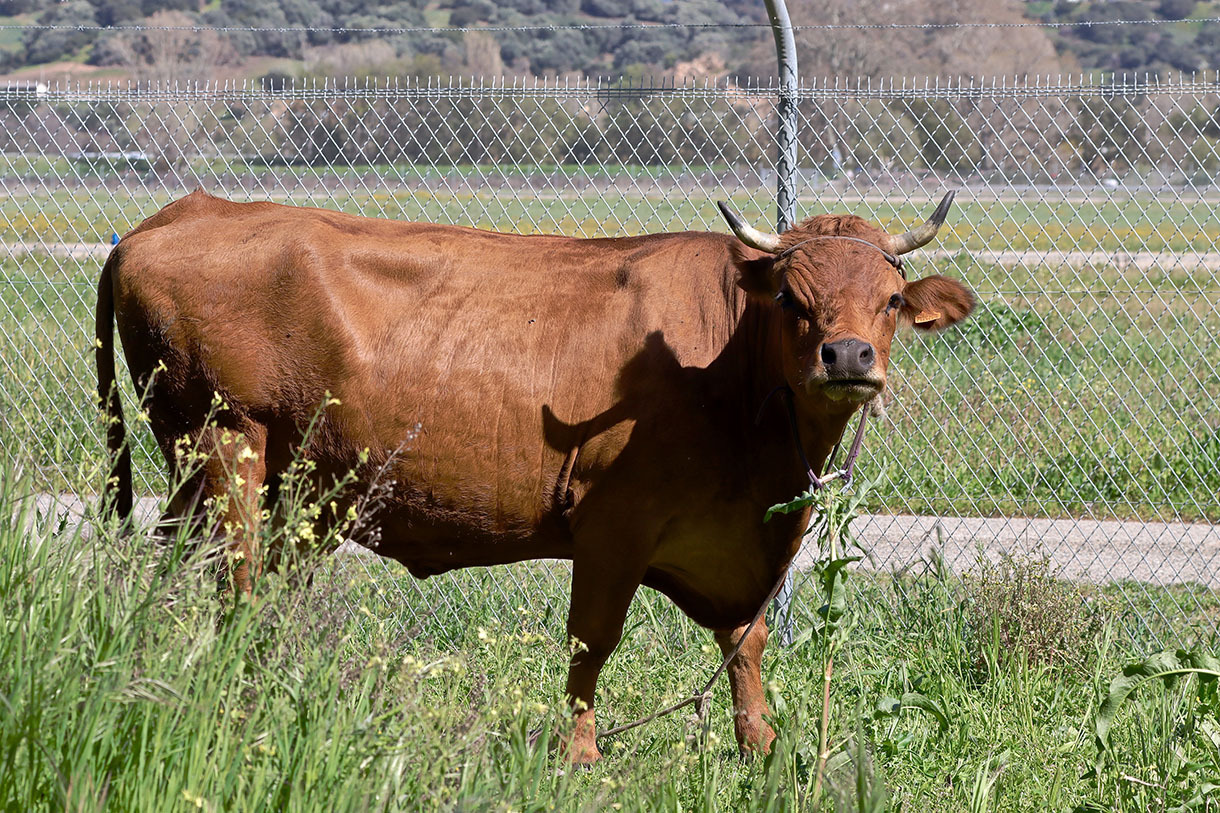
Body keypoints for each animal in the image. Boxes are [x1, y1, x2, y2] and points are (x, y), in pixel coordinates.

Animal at [92, 187, 971, 761]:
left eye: (892, 300)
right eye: (792, 297)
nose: (848, 357)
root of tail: (179, 213)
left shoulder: (737, 542)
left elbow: (744, 639)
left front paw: (760, 746)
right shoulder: (615, 524)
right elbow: (592, 641)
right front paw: (580, 754)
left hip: (278, 483)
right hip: (223, 446)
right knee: (234, 586)